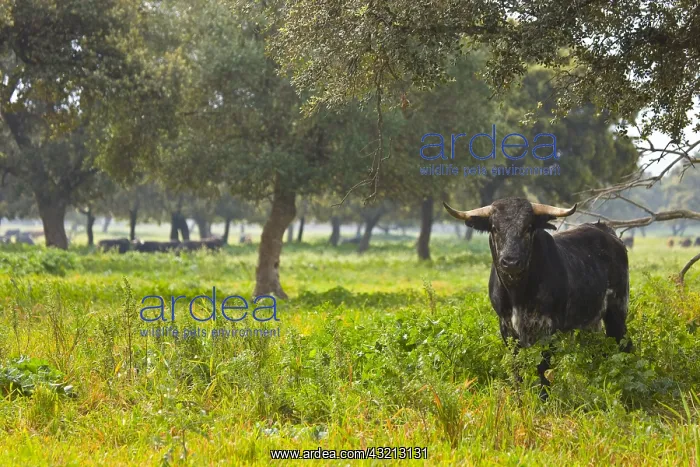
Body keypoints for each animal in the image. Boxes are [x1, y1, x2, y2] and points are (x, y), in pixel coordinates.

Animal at [444, 198, 631, 400]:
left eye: (528, 227)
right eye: (494, 227)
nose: (510, 262)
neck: (518, 292)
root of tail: (605, 230)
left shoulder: (549, 328)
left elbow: (542, 367)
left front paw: (543, 398)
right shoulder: (506, 327)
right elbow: (516, 366)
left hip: (617, 310)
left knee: (623, 343)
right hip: (590, 321)